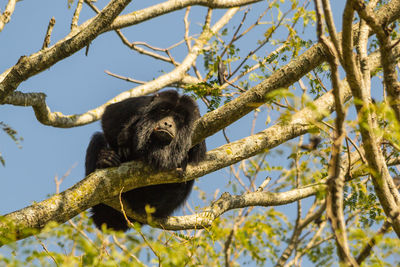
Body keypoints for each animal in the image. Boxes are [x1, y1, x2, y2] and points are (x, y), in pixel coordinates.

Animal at [84, 90, 206, 232]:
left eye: (179, 118)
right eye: (164, 110)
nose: (168, 124)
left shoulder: (197, 126)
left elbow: (198, 157)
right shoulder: (139, 104)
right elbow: (109, 117)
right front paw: (125, 141)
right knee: (98, 138)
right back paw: (105, 160)